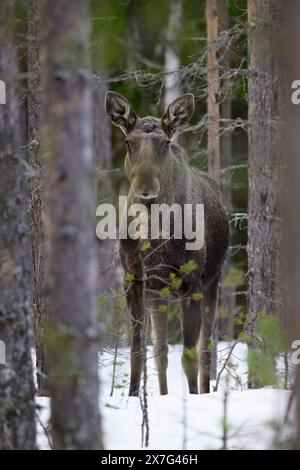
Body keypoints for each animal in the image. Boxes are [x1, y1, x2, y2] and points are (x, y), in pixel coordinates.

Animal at [104, 90, 229, 394]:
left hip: (213, 278)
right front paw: (137, 396)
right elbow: (145, 352)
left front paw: (193, 397)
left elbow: (188, 356)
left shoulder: (191, 282)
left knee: (206, 348)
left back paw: (205, 390)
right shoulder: (138, 280)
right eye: (128, 142)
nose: (145, 189)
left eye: (165, 143)